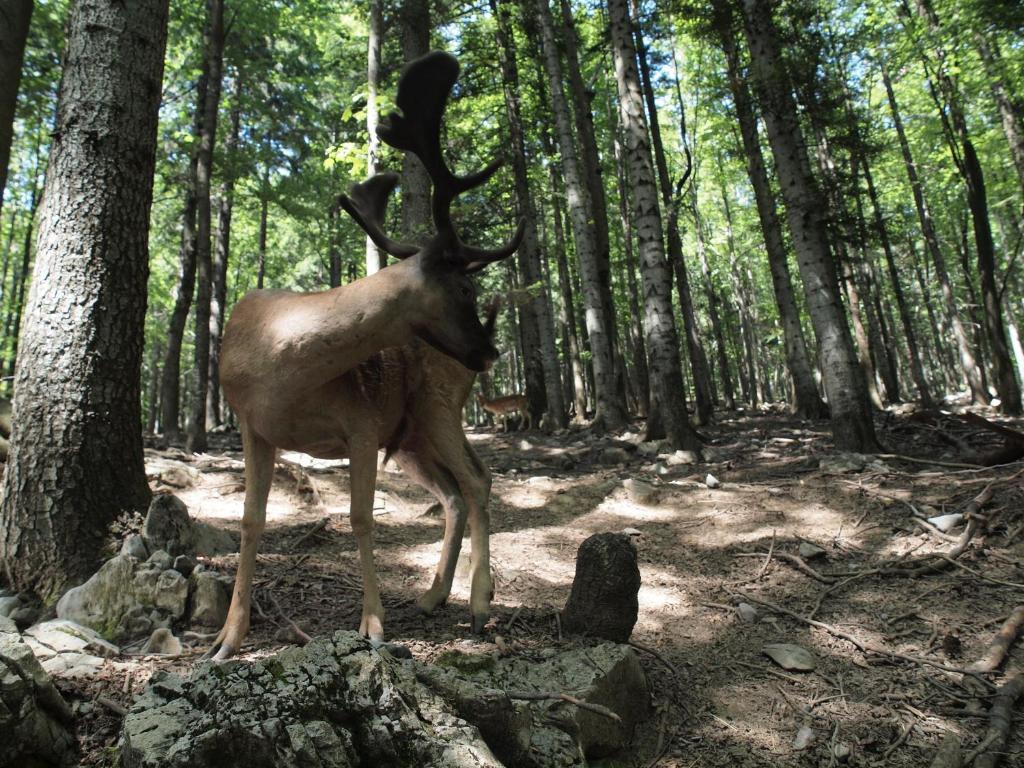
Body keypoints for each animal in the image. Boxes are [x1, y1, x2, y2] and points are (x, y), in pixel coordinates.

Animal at [208, 51, 528, 659]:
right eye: (466, 288)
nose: (490, 350)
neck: (279, 370)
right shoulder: (250, 426)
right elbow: (250, 520)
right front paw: (226, 637)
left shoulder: (359, 423)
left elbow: (361, 519)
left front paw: (373, 626)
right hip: (411, 439)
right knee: (454, 493)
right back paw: (432, 596)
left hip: (437, 407)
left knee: (479, 480)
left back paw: (479, 605)